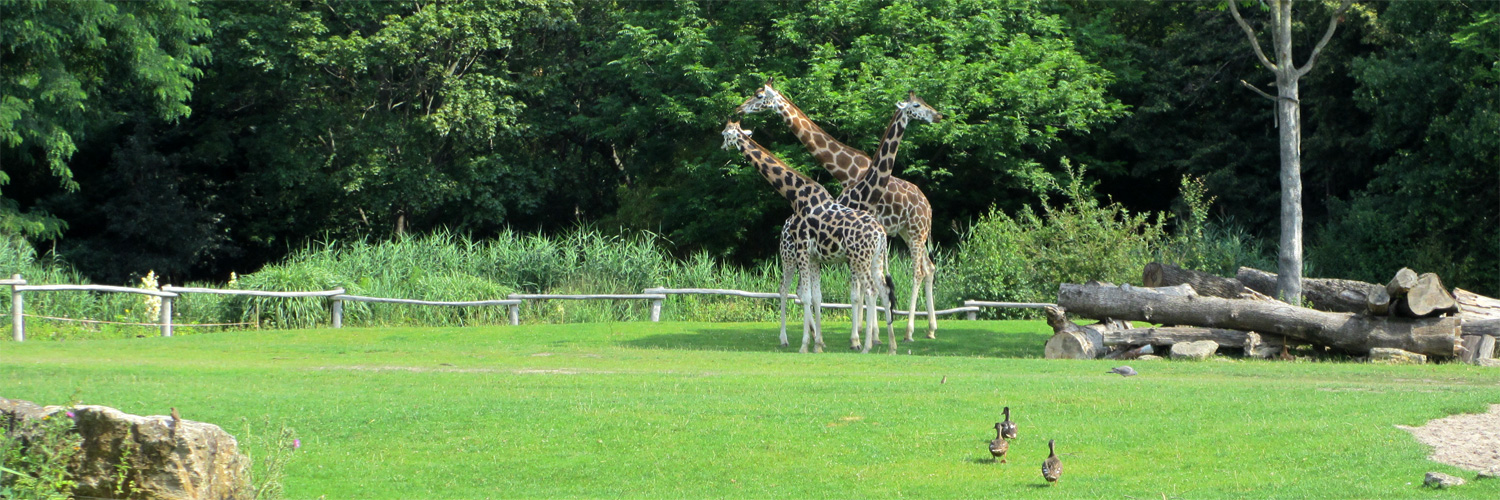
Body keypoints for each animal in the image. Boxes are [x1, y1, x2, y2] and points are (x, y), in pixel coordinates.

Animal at [720, 118, 894, 352]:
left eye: (725, 134)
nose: (722, 147)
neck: (795, 196)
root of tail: (880, 233)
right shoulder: (814, 257)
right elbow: (816, 296)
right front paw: (818, 343)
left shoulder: (803, 249)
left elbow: (811, 296)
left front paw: (807, 345)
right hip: (872, 259)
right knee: (882, 290)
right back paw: (891, 345)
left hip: (851, 258)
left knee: (869, 291)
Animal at [738, 79, 936, 340]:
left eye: (759, 96)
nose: (739, 109)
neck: (846, 171)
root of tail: (928, 205)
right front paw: (865, 330)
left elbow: (861, 286)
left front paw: (867, 332)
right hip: (908, 233)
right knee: (929, 268)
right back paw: (929, 329)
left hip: (915, 232)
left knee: (918, 272)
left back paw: (909, 332)